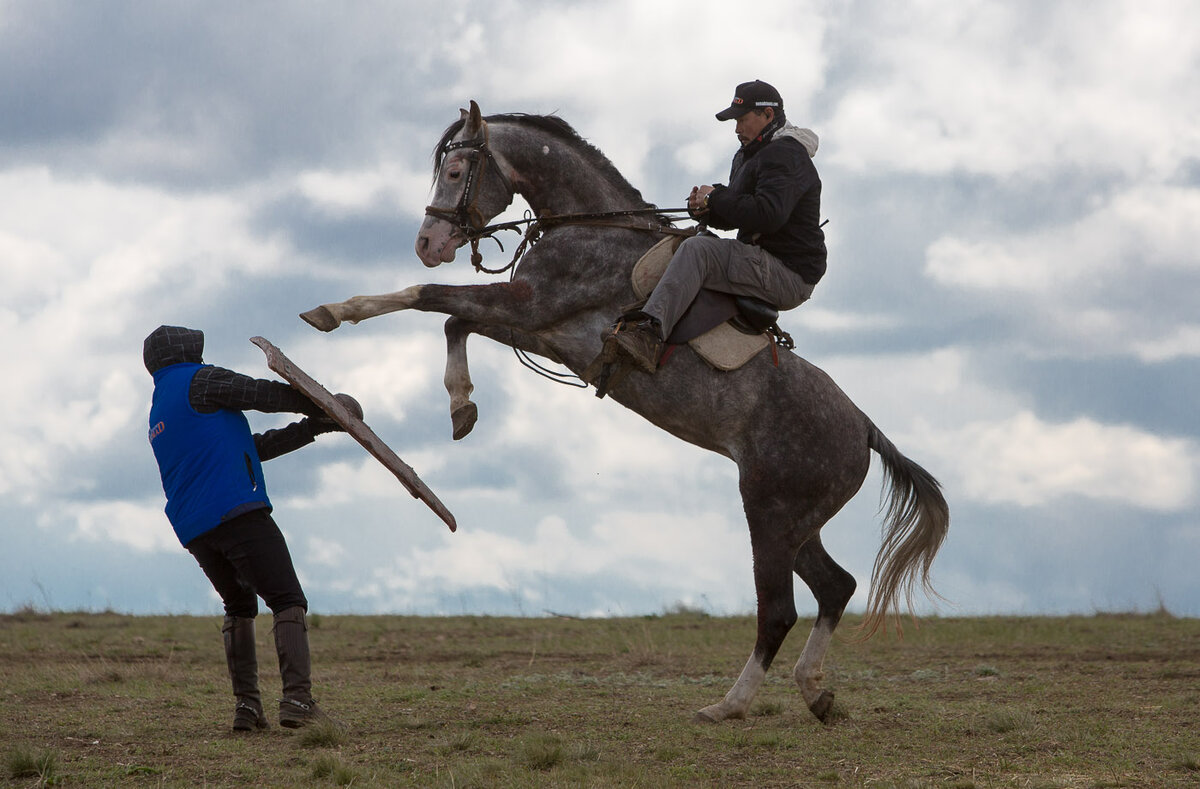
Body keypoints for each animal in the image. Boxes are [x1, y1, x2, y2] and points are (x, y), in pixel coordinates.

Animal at [300, 101, 945, 724]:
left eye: (457, 172)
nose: (427, 245)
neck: (589, 227)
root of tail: (864, 428)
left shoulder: (528, 305)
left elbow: (425, 299)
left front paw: (333, 311)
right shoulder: (539, 329)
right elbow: (454, 322)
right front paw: (463, 408)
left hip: (769, 510)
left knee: (780, 610)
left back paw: (729, 705)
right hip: (797, 522)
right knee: (835, 588)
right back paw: (814, 694)